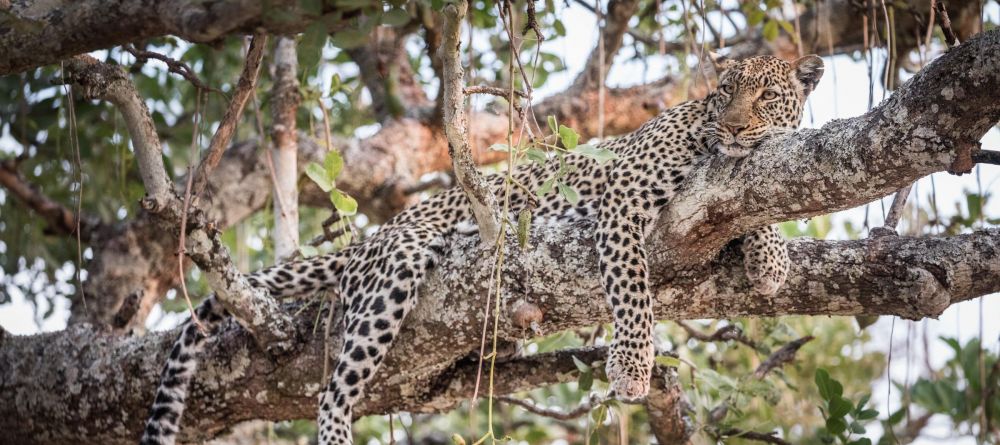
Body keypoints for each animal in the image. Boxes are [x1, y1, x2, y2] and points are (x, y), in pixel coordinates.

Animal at [143, 53, 828, 444]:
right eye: (727, 90)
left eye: (766, 96)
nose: (734, 124)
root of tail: (376, 235)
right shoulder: (623, 200)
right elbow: (633, 293)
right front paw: (633, 368)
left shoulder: (741, 183)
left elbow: (760, 200)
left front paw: (769, 259)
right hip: (394, 273)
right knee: (333, 391)